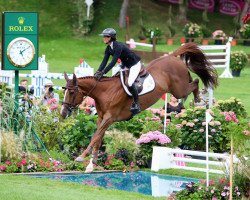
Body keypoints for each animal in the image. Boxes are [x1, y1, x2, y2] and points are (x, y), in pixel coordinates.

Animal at [60, 43, 217, 171]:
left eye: (72, 92)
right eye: (64, 91)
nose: (63, 113)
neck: (105, 92)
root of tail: (172, 56)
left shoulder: (109, 118)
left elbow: (95, 137)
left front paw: (81, 157)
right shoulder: (101, 118)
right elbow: (98, 138)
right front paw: (91, 164)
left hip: (179, 89)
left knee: (195, 82)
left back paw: (198, 100)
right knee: (193, 82)